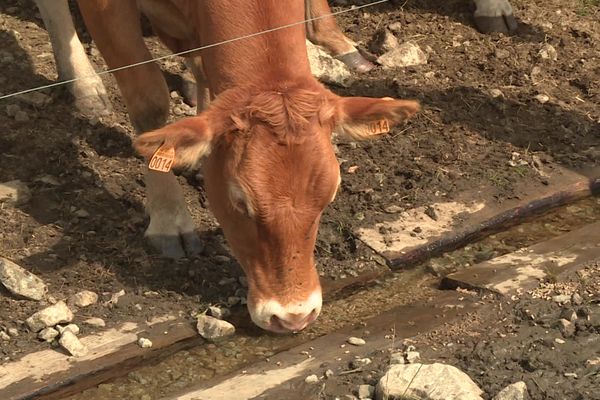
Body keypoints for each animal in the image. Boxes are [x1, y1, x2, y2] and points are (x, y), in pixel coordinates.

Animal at [78, 1, 418, 332]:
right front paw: (169, 220)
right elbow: (149, 102)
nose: (294, 317)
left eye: (329, 197)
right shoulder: (104, 10)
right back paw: (85, 87)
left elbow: (203, 70)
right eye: (240, 202)